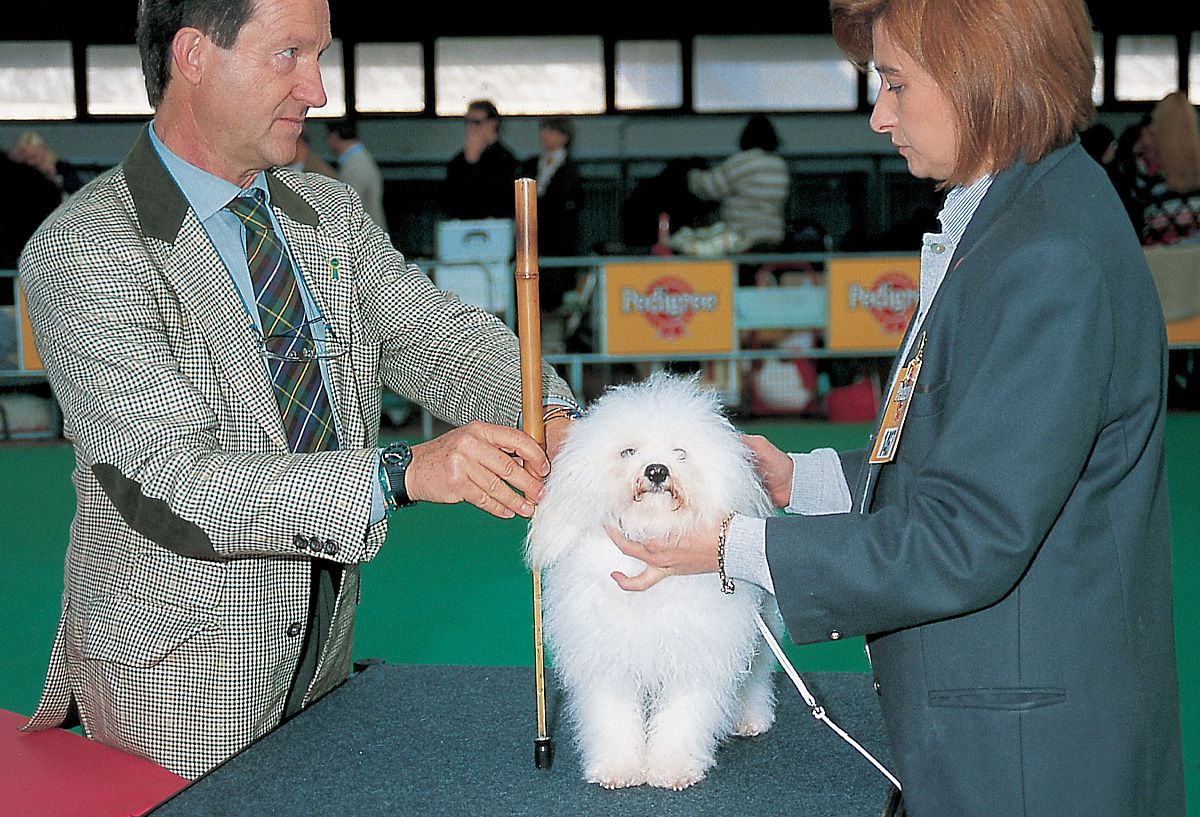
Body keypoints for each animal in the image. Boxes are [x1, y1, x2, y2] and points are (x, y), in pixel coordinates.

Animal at [525, 372, 781, 790]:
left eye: (681, 452)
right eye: (628, 451)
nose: (657, 470)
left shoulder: (697, 655)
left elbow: (683, 716)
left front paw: (672, 768)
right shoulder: (607, 655)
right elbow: (612, 714)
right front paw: (618, 768)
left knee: (755, 676)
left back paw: (750, 719)